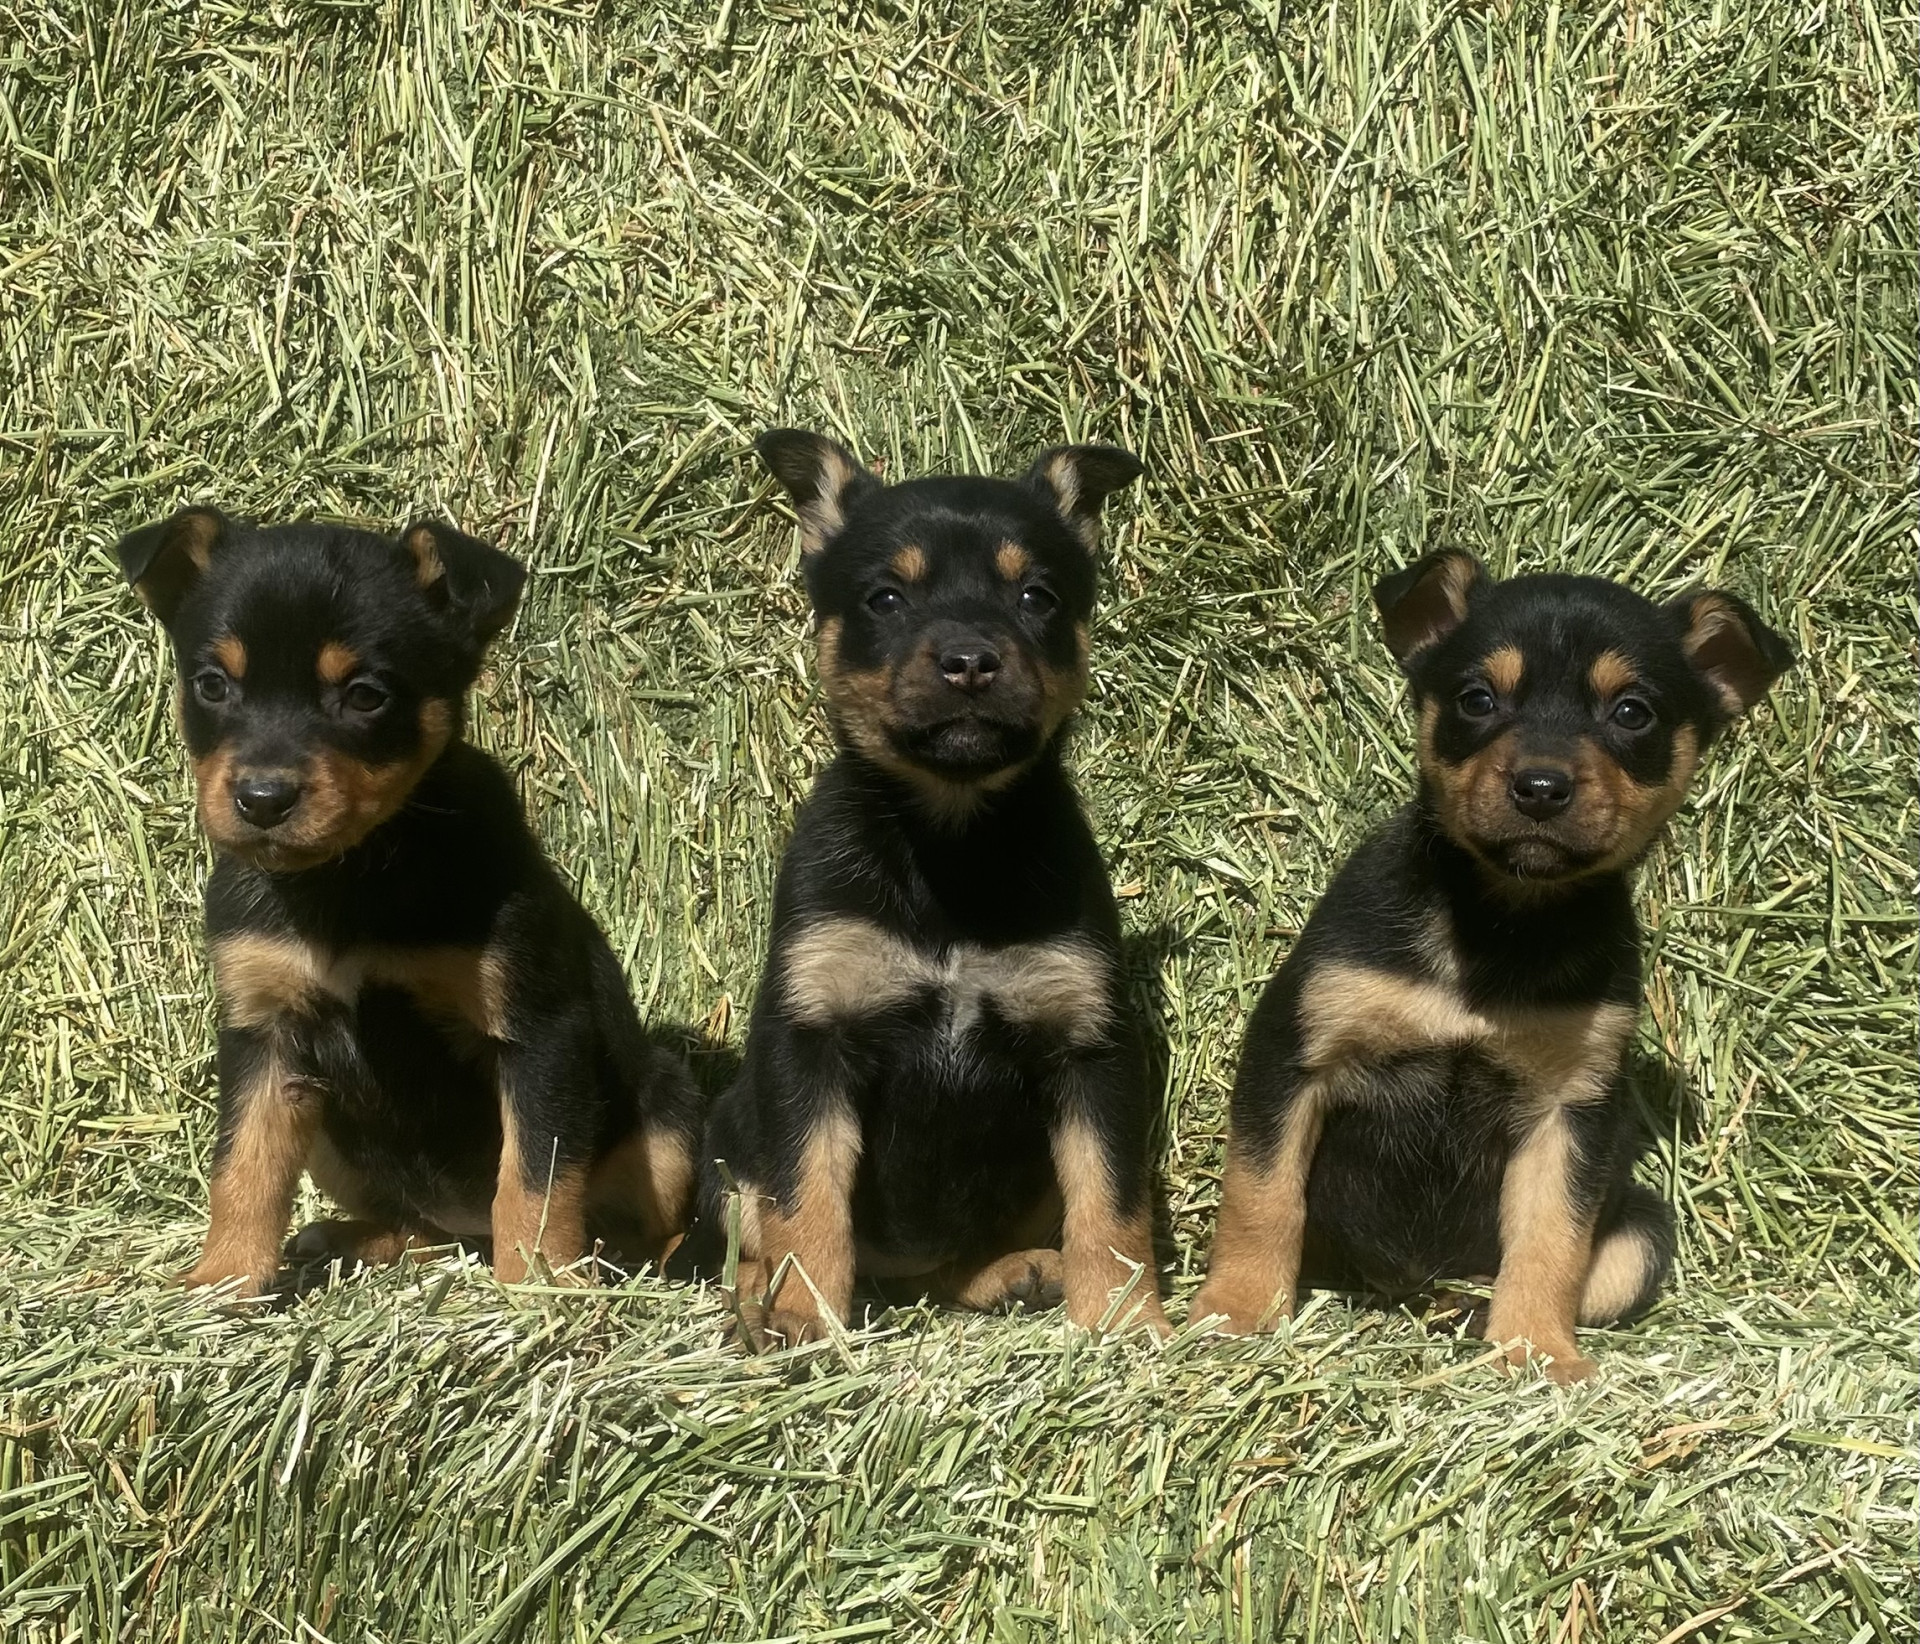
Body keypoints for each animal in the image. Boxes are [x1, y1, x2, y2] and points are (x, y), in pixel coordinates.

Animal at [118, 508, 702, 1297]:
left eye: (366, 695)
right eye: (212, 684)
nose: (262, 799)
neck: (351, 877)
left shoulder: (538, 1030)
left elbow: (535, 1177)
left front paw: (539, 1285)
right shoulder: (264, 1036)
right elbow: (243, 1167)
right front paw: (223, 1280)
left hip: (667, 1115)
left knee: (630, 1220)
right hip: (330, 1133)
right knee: (419, 1224)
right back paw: (349, 1239)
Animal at [684, 431, 1170, 1348]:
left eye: (1038, 595)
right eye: (885, 598)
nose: (970, 661)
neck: (950, 840)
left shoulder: (1090, 1047)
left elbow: (1113, 1202)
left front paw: (1127, 1321)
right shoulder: (811, 1039)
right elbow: (805, 1198)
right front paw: (803, 1315)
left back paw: (1017, 1273)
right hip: (727, 1139)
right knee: (755, 1233)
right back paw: (757, 1305)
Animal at [1191, 551, 1792, 1380]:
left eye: (1632, 713)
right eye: (1476, 699)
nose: (1540, 787)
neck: (1502, 922)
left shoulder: (1571, 1111)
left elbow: (1551, 1242)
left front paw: (1537, 1350)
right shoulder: (1291, 1056)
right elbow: (1260, 1197)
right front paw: (1239, 1311)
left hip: (1641, 1225)